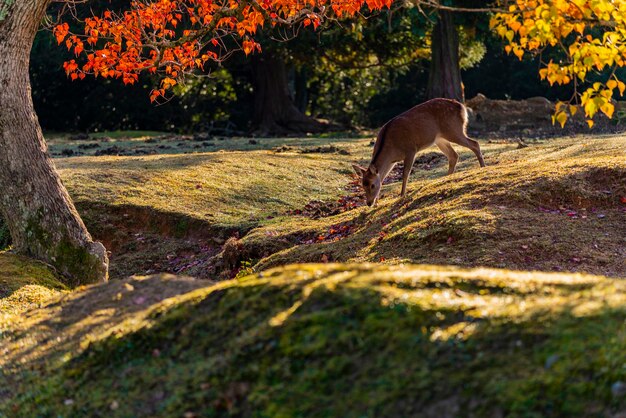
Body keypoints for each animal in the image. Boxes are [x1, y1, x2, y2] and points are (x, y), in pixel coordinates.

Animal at [348, 96, 486, 207]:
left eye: (372, 185)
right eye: (363, 185)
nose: (369, 203)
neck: (391, 149)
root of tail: (461, 107)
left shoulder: (410, 149)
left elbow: (405, 173)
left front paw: (402, 195)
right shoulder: (392, 161)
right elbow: (382, 177)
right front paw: (377, 203)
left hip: (453, 129)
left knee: (475, 143)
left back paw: (483, 167)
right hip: (439, 139)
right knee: (454, 155)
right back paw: (446, 178)